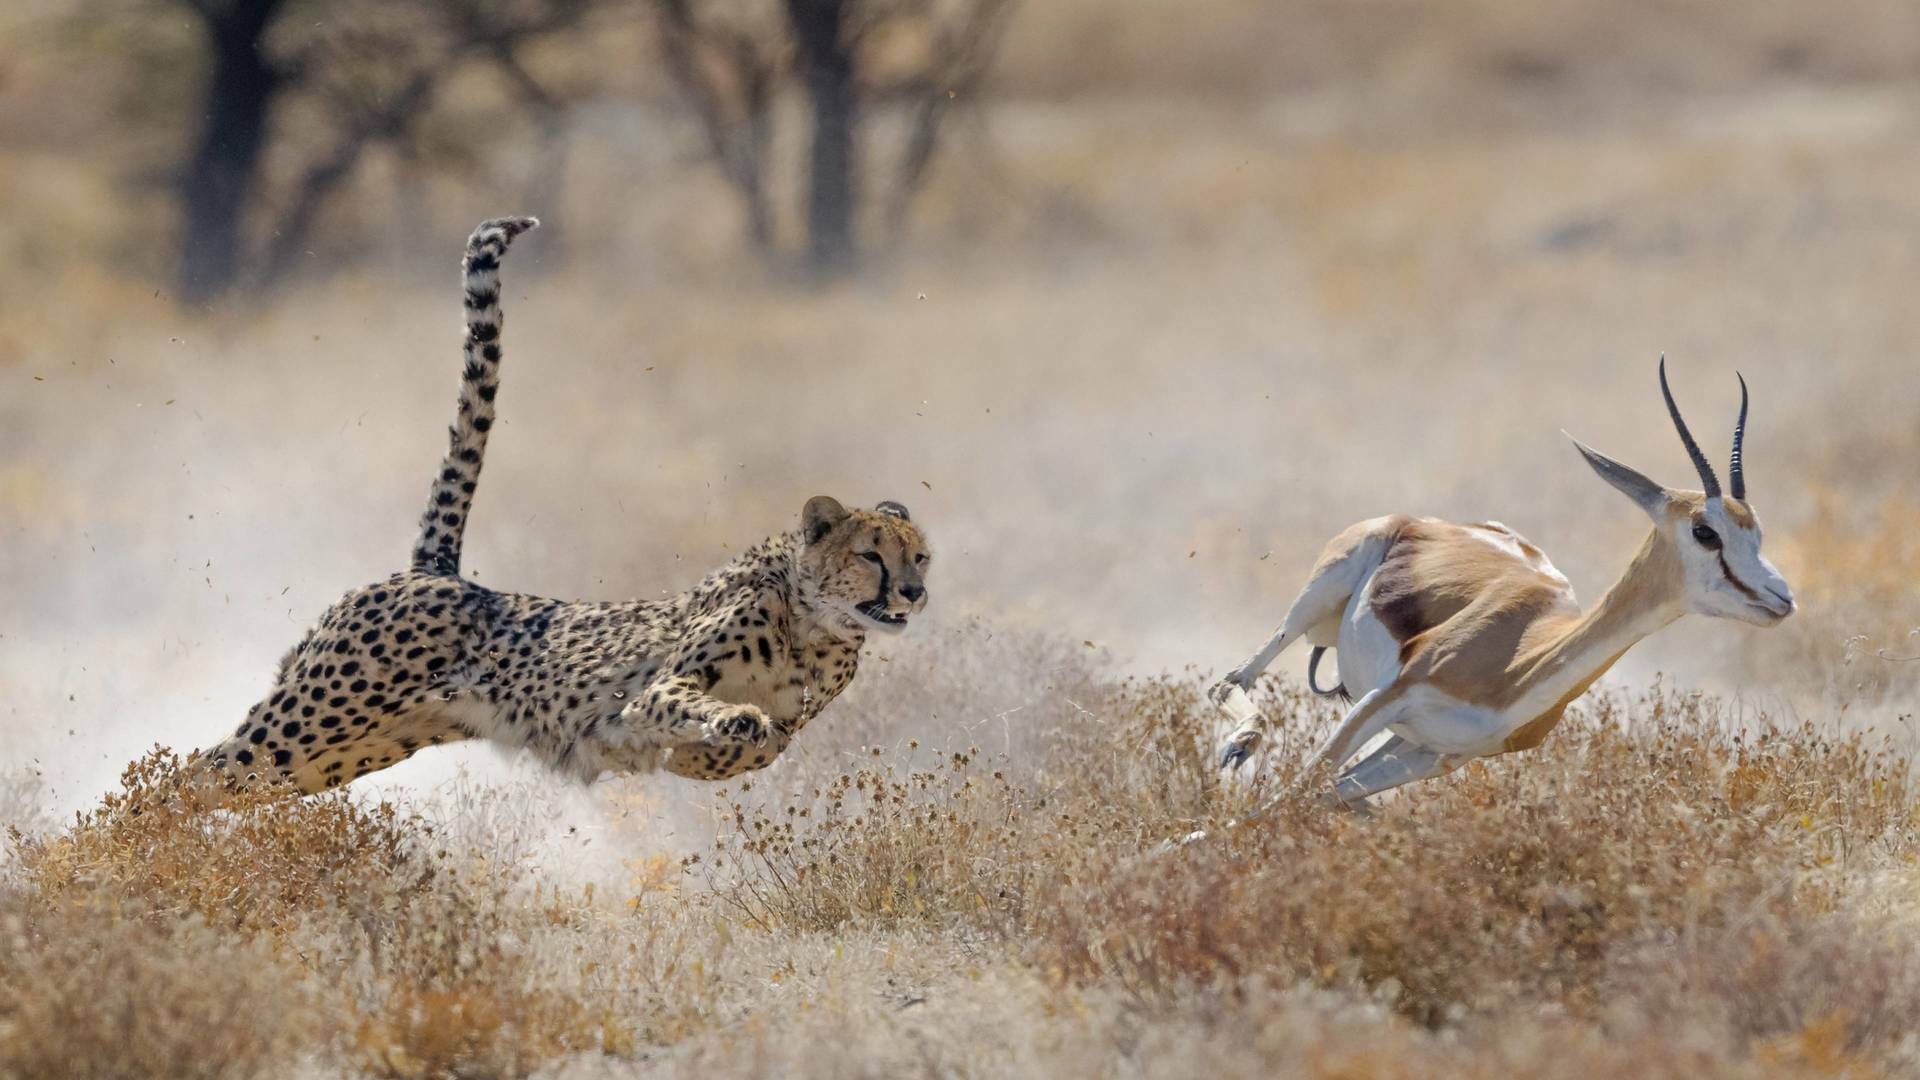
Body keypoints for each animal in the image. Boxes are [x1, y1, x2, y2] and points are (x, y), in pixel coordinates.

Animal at [198, 216, 933, 791]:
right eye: (872, 555)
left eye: (921, 557)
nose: (914, 593)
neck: (815, 628)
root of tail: (434, 571)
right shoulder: (657, 688)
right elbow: (696, 710)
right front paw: (728, 721)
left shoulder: (785, 722)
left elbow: (760, 747)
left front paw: (713, 746)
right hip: (308, 722)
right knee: (184, 775)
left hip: (338, 753)